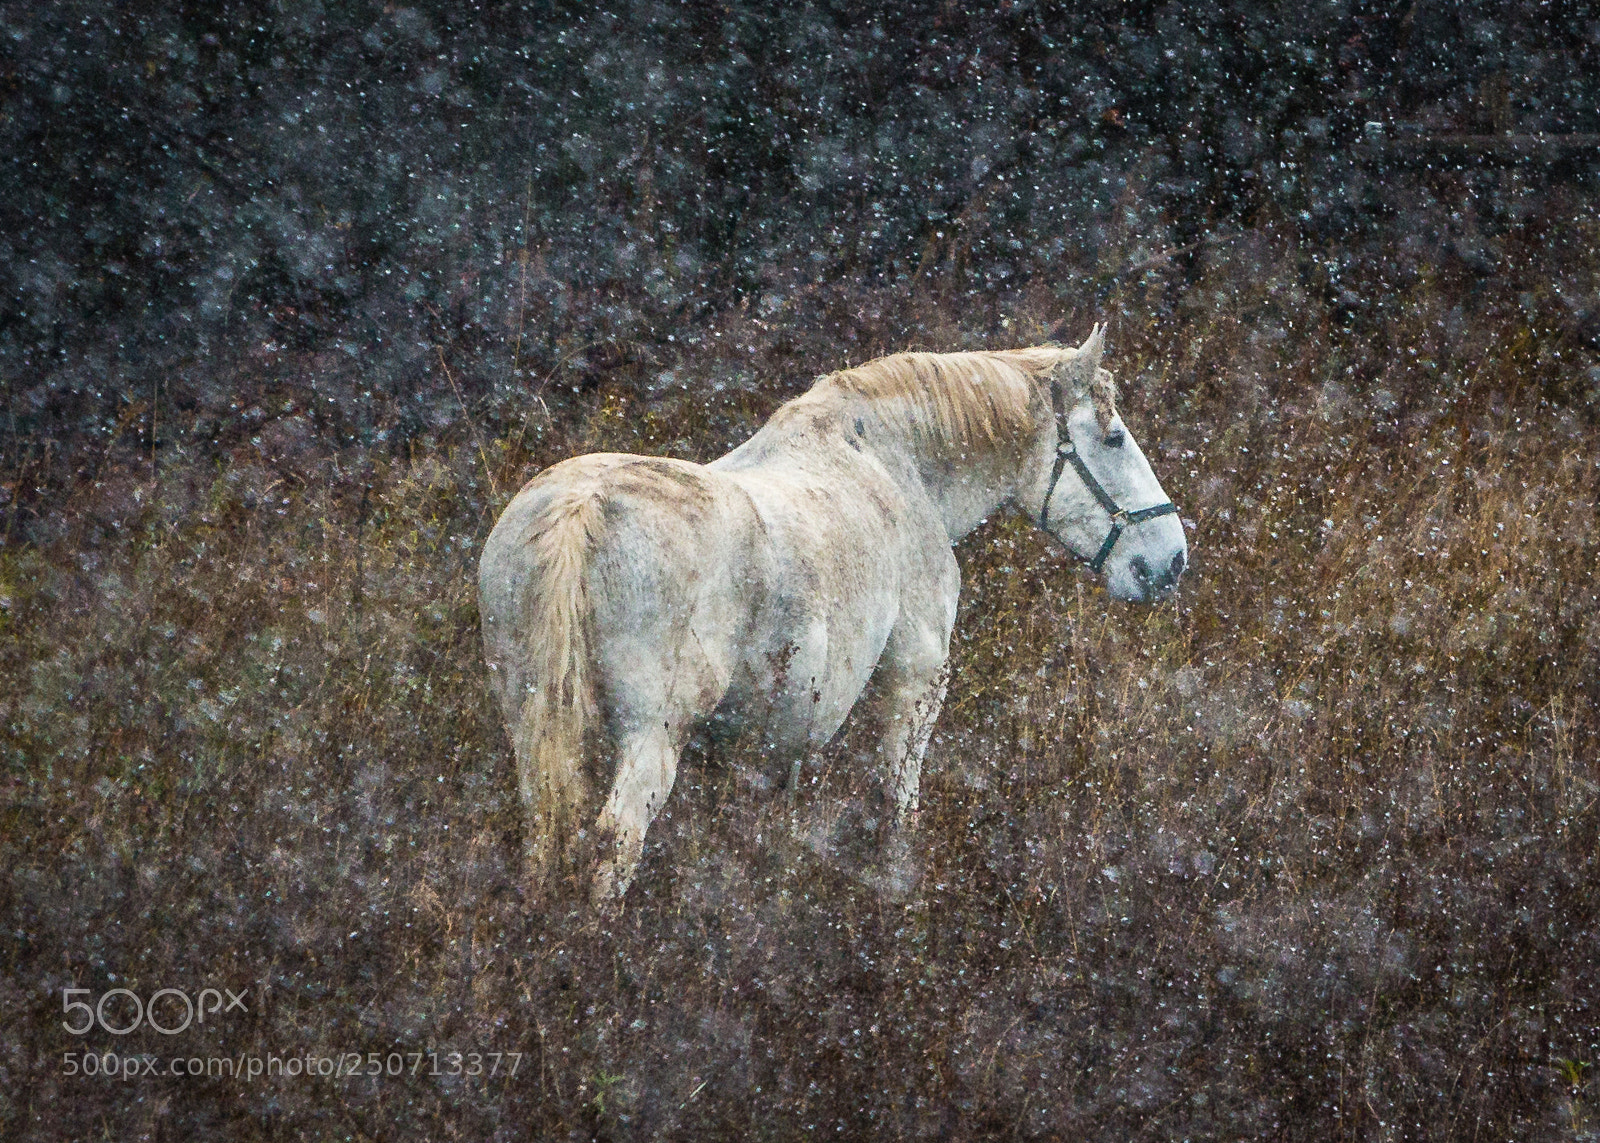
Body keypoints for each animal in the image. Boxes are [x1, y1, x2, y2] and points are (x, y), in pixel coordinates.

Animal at [478, 326, 1186, 910]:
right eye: (1113, 437)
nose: (1170, 560)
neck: (896, 465)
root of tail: (581, 509)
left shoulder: (767, 743)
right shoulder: (916, 680)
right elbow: (899, 800)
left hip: (533, 727)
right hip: (651, 736)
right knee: (615, 843)